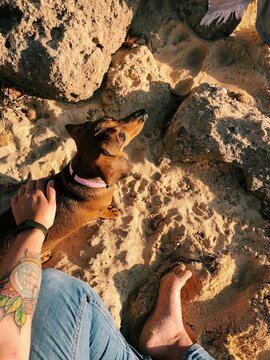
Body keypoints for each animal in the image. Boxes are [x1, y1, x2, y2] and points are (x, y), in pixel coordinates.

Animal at [0, 108, 148, 260]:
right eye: (122, 136)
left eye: (110, 117)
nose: (142, 113)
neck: (84, 180)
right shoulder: (100, 210)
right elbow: (105, 212)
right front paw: (112, 212)